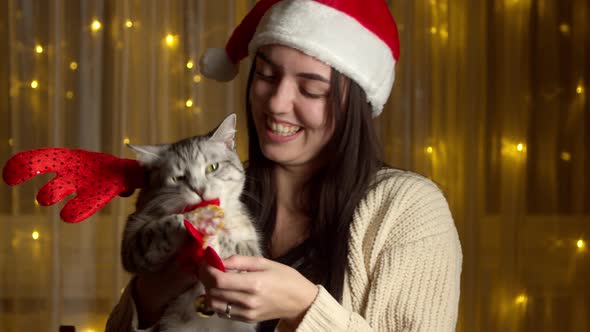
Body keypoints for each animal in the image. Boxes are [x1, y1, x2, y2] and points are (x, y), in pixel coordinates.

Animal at [120, 114, 262, 332]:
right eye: (178, 177)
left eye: (213, 167)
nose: (199, 189)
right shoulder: (133, 241)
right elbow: (161, 228)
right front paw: (201, 217)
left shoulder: (252, 251)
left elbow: (240, 248)